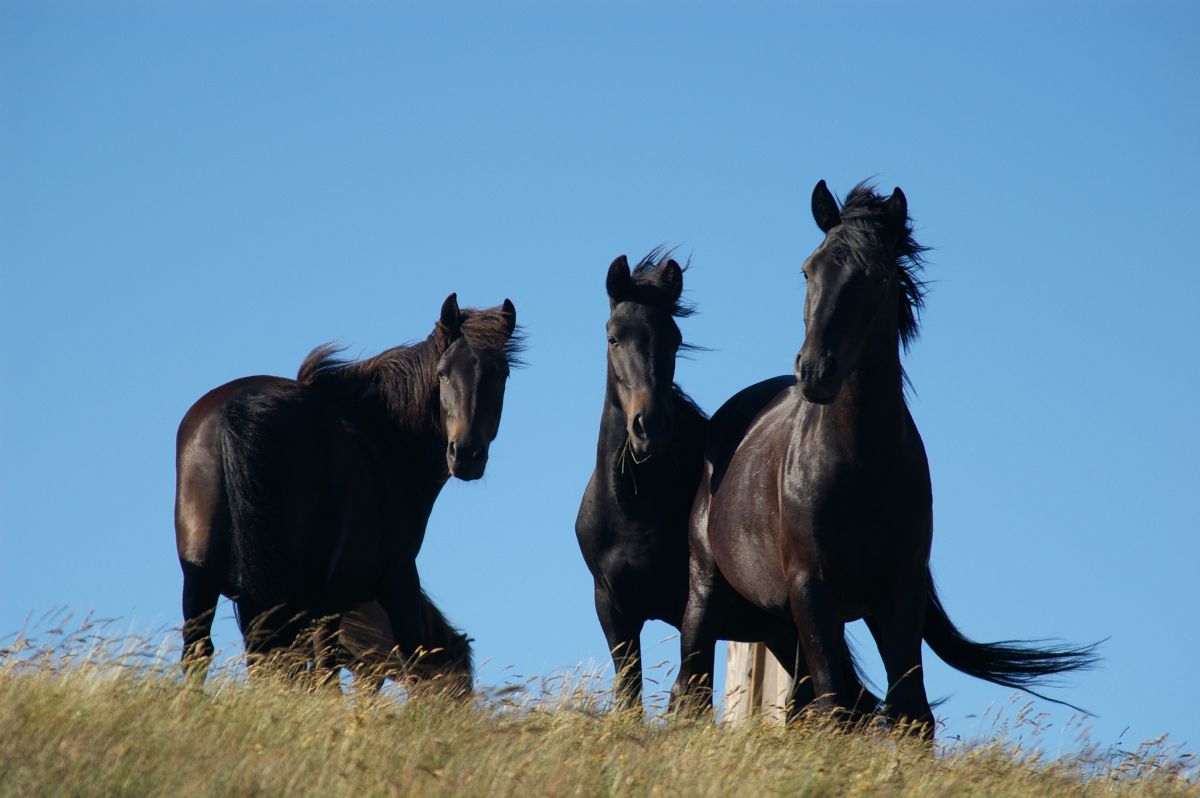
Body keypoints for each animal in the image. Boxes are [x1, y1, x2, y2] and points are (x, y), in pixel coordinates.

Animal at [175, 292, 520, 686]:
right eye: (443, 373)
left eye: (503, 374)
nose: (466, 455)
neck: (384, 437)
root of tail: (239, 407)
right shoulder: (397, 577)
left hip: (204, 579)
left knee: (201, 653)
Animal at [580, 249, 883, 710]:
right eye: (614, 337)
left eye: (674, 339)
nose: (650, 427)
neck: (632, 512)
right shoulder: (614, 610)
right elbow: (631, 696)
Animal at [672, 182, 1099, 734]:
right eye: (808, 269)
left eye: (875, 277)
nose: (815, 371)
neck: (860, 470)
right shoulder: (813, 588)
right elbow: (836, 704)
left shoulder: (898, 591)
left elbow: (910, 712)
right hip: (710, 590)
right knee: (692, 689)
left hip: (786, 622)